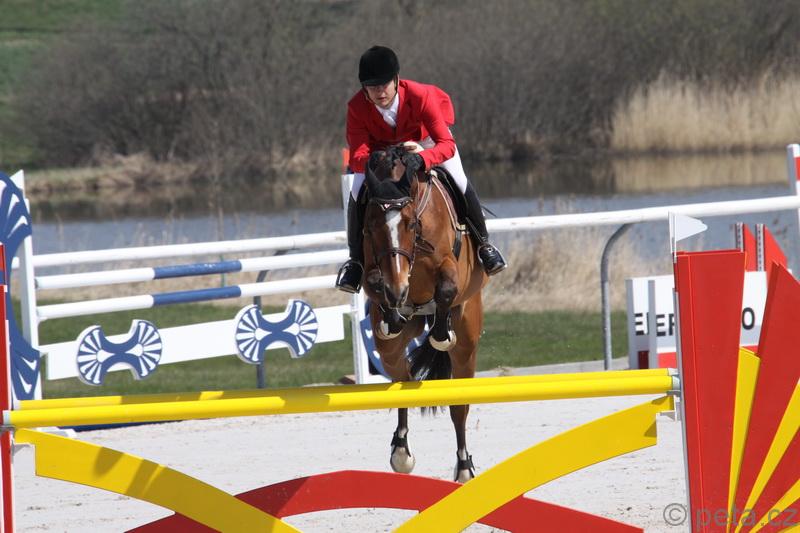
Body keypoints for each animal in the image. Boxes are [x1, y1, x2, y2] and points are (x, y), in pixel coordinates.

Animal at [360, 146, 488, 482]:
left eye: (409, 224)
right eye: (371, 225)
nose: (398, 289)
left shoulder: (450, 267)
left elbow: (446, 287)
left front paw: (441, 334)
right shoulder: (371, 268)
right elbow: (374, 280)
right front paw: (392, 313)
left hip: (467, 344)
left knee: (459, 407)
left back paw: (464, 466)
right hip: (390, 350)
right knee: (401, 380)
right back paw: (401, 451)